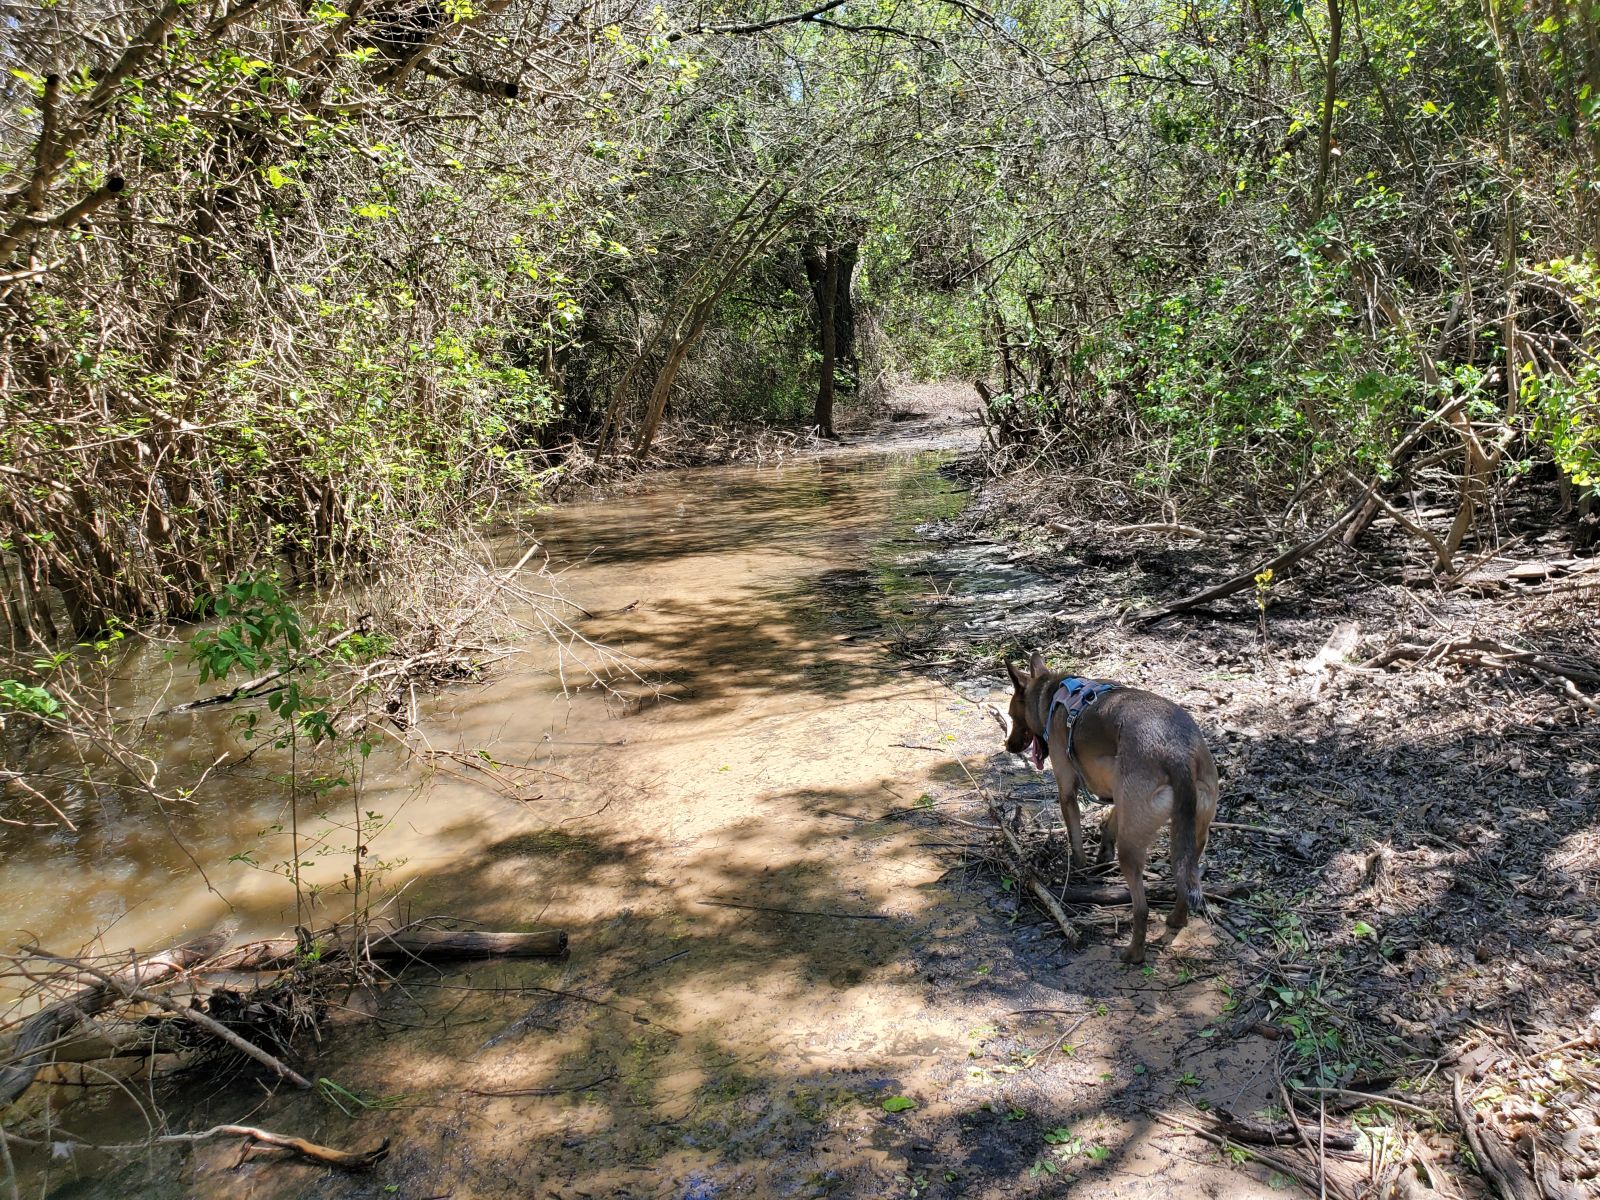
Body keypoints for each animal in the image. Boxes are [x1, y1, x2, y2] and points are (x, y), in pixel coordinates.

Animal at [1004, 652, 1216, 966]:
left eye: (1011, 716)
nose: (1008, 746)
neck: (1051, 694)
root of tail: (1178, 753)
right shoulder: (1118, 792)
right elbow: (1110, 823)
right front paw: (1103, 853)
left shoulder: (1067, 790)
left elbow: (1075, 836)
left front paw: (1080, 866)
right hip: (1194, 835)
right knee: (1185, 877)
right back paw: (1177, 919)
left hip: (1132, 848)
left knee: (1141, 908)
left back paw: (1133, 954)